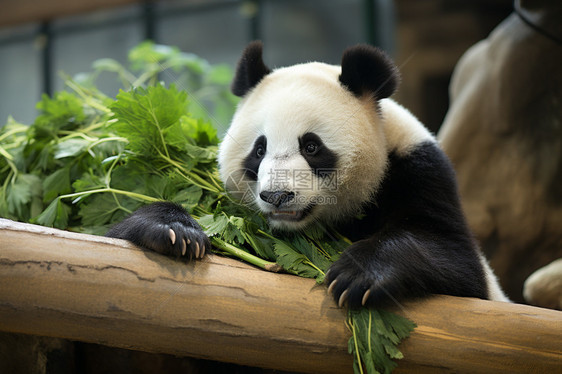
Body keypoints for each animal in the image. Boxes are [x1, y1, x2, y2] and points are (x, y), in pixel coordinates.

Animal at [106, 42, 508, 308]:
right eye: (259, 149)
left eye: (311, 147)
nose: (276, 197)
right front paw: (175, 231)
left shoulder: (418, 170)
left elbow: (455, 261)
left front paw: (357, 275)